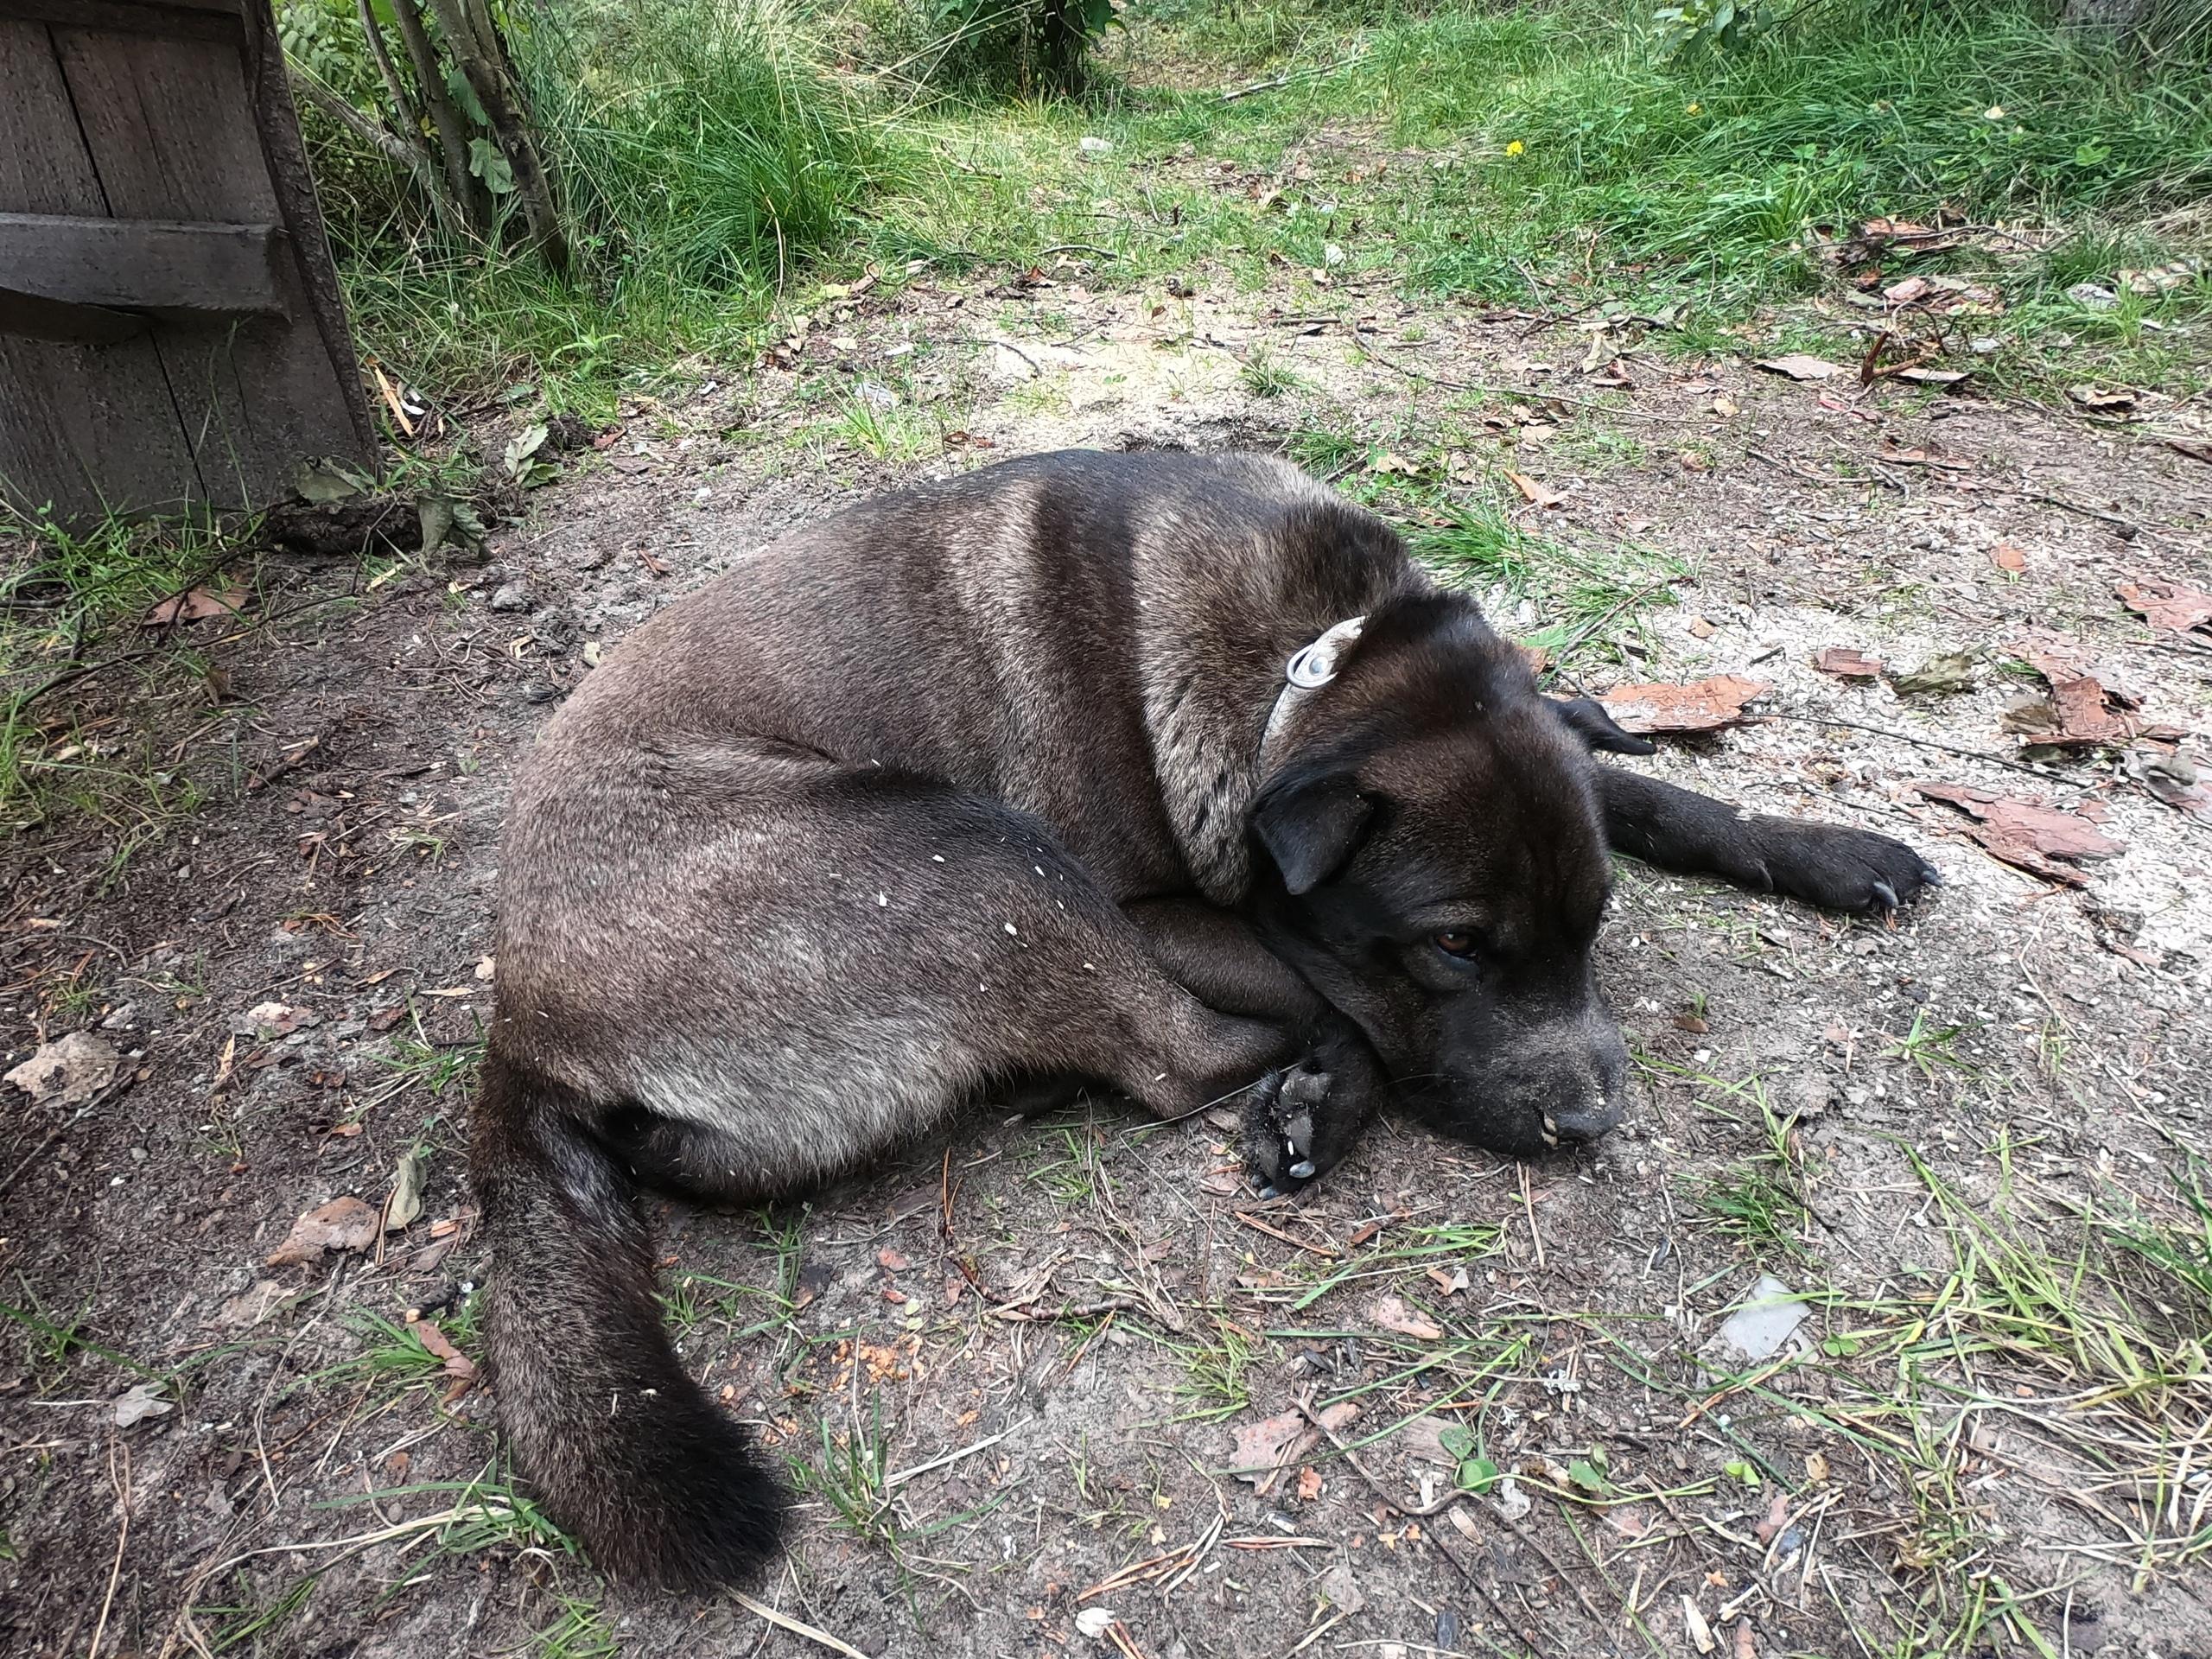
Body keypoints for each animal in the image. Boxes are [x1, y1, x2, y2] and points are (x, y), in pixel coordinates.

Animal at [471, 448, 1937, 1592]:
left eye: (1593, 929)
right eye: (1455, 948)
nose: (1588, 1120)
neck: (1313, 661)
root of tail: (521, 1032)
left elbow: (1656, 799)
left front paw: (1827, 849)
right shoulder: (1159, 908)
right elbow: (1330, 992)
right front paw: (1334, 1084)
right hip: (978, 850)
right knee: (1173, 1060)